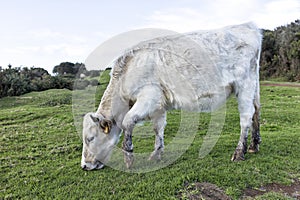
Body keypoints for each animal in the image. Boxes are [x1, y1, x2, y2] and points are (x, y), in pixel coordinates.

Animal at [81, 23, 262, 170]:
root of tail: (248, 26)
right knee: (256, 111)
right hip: (254, 86)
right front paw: (157, 154)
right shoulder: (159, 105)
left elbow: (128, 121)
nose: (84, 165)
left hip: (244, 85)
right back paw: (254, 145)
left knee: (246, 117)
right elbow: (158, 127)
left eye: (90, 138)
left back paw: (239, 152)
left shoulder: (149, 96)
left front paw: (129, 157)